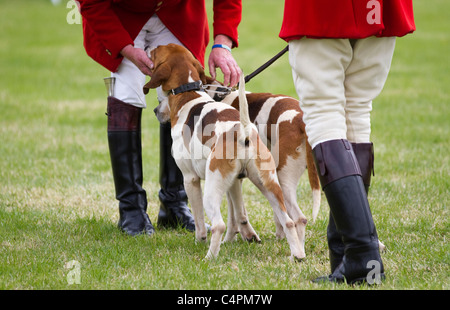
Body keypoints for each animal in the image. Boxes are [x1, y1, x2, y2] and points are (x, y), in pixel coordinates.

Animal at [144, 43, 306, 260]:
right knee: (289, 220)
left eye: (155, 52)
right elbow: (237, 214)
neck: (190, 92)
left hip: (214, 189)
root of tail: (243, 133)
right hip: (269, 185)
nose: (155, 110)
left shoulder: (190, 179)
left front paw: (201, 241)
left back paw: (209, 258)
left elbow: (203, 222)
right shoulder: (235, 181)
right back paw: (297, 254)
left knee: (218, 225)